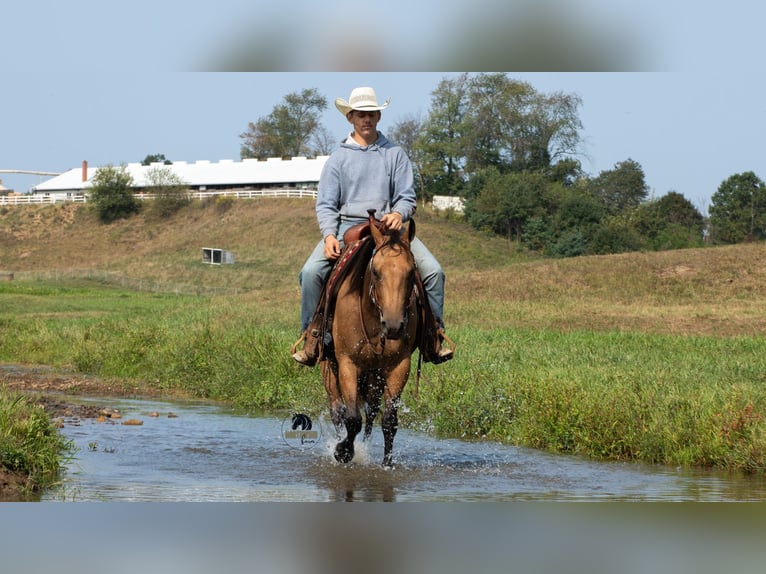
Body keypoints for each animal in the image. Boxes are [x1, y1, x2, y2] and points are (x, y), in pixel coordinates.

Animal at [321, 212, 420, 467]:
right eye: (375, 272)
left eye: (411, 272)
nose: (394, 326)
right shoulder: (348, 363)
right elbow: (351, 418)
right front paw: (342, 452)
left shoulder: (399, 366)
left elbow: (389, 420)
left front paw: (387, 464)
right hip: (331, 371)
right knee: (338, 411)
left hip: (374, 377)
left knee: (371, 414)